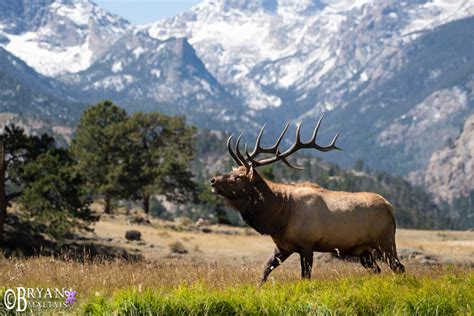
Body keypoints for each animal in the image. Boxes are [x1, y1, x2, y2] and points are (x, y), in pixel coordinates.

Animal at [210, 116, 404, 284]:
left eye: (238, 177)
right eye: (232, 171)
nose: (213, 180)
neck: (278, 217)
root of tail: (390, 207)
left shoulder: (307, 244)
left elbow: (305, 277)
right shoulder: (283, 246)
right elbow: (264, 271)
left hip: (385, 242)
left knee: (399, 267)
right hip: (364, 251)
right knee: (378, 270)